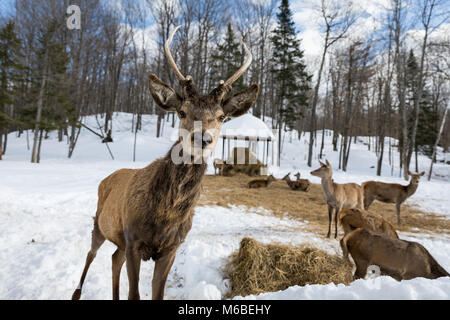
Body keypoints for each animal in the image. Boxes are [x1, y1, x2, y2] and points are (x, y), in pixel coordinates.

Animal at [71, 25, 258, 300]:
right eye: (182, 112)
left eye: (221, 117)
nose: (202, 138)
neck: (164, 216)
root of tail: (107, 177)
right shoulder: (133, 239)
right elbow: (134, 294)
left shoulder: (172, 248)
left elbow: (156, 294)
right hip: (100, 224)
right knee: (90, 254)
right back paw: (76, 292)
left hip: (118, 240)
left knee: (114, 258)